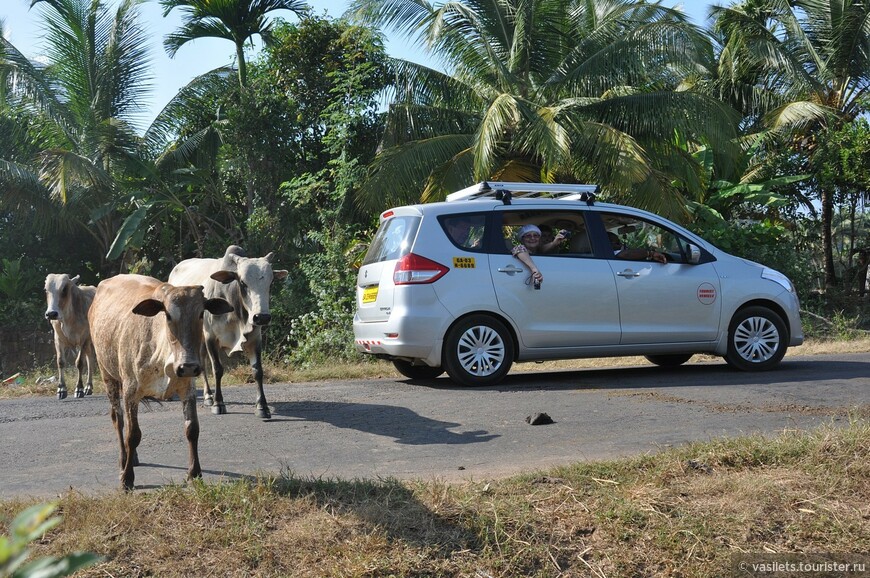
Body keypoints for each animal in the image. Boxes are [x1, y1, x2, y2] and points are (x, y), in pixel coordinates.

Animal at [88, 272, 233, 488]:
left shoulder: (187, 388)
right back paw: (123, 460)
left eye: (201, 313)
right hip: (108, 375)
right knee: (118, 419)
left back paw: (133, 458)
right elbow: (133, 434)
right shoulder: (131, 391)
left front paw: (195, 473)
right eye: (168, 315)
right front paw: (127, 479)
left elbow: (192, 428)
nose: (187, 366)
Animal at [169, 244, 290, 418]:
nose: (262, 317)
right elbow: (218, 369)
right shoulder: (211, 337)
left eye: (271, 282)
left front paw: (262, 406)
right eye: (243, 282)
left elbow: (258, 371)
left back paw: (208, 396)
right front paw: (219, 404)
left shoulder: (255, 338)